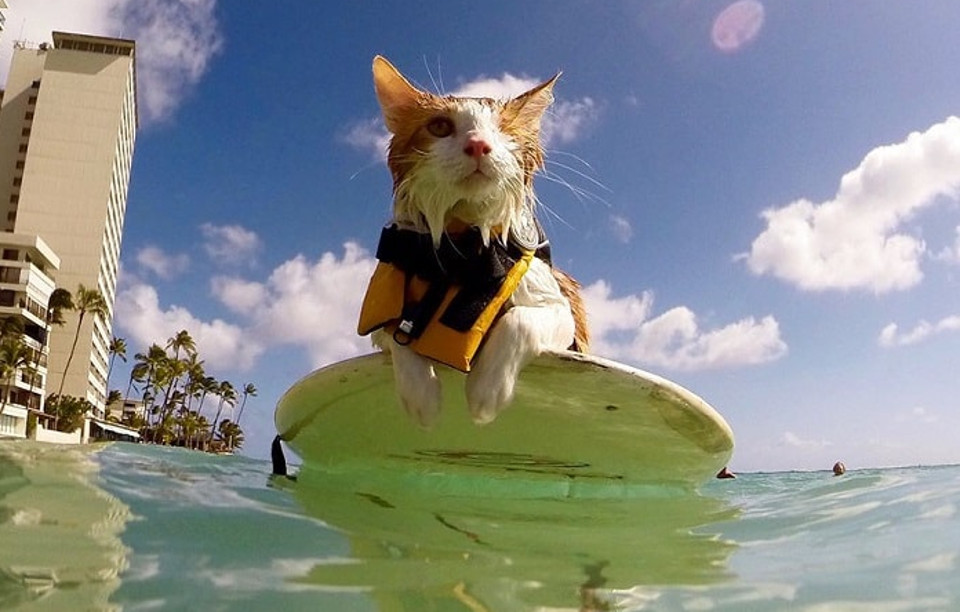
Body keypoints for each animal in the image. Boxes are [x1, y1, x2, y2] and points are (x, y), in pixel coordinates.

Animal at [358, 57, 588, 428]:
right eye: (440, 126)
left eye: (503, 130)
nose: (479, 144)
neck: (463, 250)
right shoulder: (379, 322)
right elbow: (398, 330)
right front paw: (421, 396)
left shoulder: (562, 313)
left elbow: (519, 319)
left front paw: (486, 389)